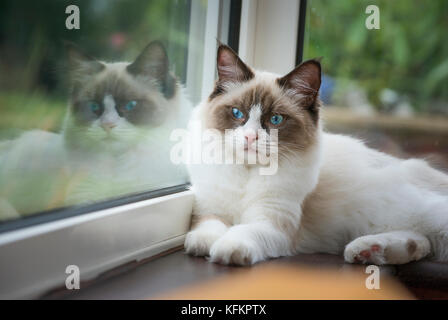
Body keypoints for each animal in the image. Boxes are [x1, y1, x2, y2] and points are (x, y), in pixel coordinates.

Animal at [183, 43, 448, 266]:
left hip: (429, 215)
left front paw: (227, 250)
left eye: (275, 120)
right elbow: (207, 228)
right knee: (421, 242)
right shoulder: (210, 208)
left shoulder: (272, 224)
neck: (248, 174)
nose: (250, 138)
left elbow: (241, 232)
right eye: (238, 113)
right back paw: (366, 251)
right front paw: (204, 246)